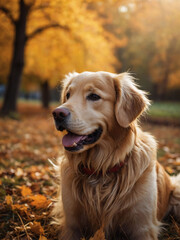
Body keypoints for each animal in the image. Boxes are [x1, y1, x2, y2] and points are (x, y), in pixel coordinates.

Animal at [51, 71, 179, 240]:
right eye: (68, 95)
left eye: (94, 96)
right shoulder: (71, 225)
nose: (57, 113)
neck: (100, 169)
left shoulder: (142, 227)